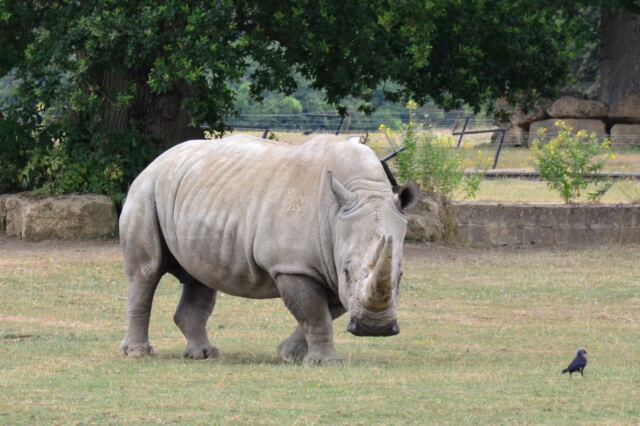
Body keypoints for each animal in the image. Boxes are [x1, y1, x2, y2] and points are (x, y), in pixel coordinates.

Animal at [119, 134, 418, 365]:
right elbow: (314, 313)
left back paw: (204, 355)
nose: (374, 328)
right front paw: (325, 363)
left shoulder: (327, 265)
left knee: (200, 276)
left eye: (401, 275)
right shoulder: (294, 266)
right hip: (146, 189)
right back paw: (137, 354)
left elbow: (325, 312)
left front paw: (290, 355)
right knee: (146, 271)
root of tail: (158, 159)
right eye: (346, 271)